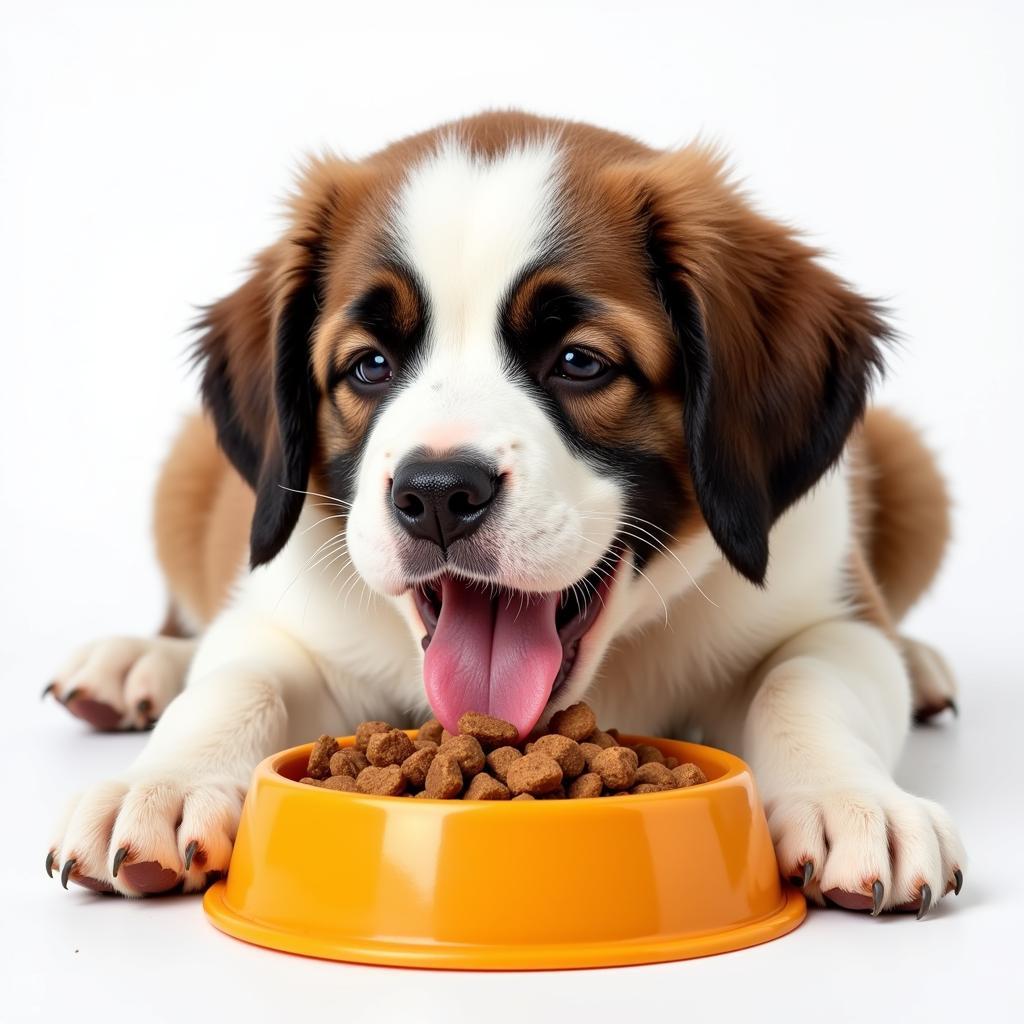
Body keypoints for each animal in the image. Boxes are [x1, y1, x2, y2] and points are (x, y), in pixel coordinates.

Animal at [44, 112, 962, 913]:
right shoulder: (280, 617)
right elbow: (236, 684)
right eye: (369, 366)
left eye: (581, 362)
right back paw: (134, 663)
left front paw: (852, 801)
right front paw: (157, 783)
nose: (437, 495)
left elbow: (804, 685)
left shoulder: (831, 608)